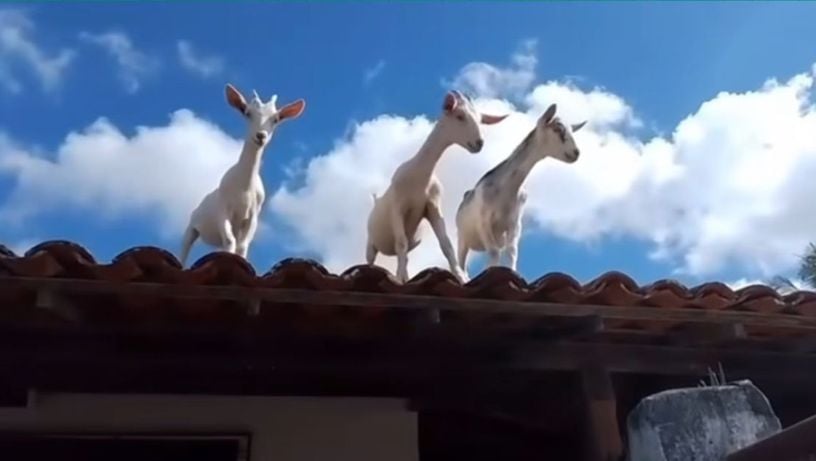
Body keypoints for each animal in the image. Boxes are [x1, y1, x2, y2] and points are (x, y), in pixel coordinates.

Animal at [179, 82, 306, 266]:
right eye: (247, 113)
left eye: (275, 119)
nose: (260, 136)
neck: (244, 188)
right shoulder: (223, 210)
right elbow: (230, 240)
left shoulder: (253, 215)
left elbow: (242, 245)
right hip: (192, 226)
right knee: (185, 247)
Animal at [364, 90, 506, 282]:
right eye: (459, 116)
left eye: (480, 120)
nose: (479, 143)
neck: (420, 178)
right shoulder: (397, 208)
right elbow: (400, 243)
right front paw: (399, 279)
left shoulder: (432, 207)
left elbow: (446, 245)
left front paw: (461, 276)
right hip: (371, 242)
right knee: (371, 259)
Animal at [456, 103, 584, 276]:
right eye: (557, 129)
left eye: (572, 130)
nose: (576, 153)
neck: (506, 188)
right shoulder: (484, 222)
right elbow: (494, 252)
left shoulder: (514, 223)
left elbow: (511, 251)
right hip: (462, 238)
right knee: (460, 263)